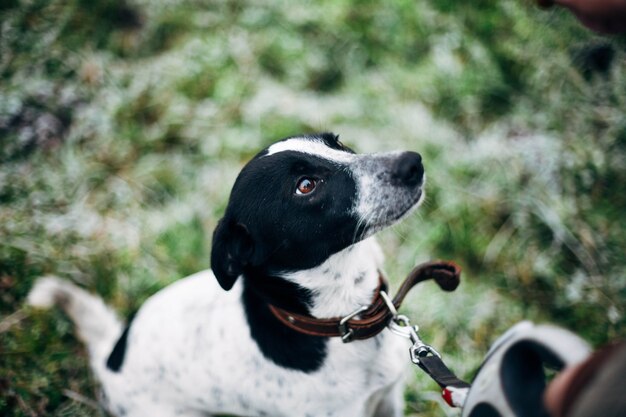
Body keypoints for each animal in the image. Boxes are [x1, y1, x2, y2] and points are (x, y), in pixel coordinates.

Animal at [30, 133, 428, 416]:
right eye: (306, 185)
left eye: (338, 144)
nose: (414, 162)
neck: (340, 319)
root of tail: (111, 356)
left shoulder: (388, 400)